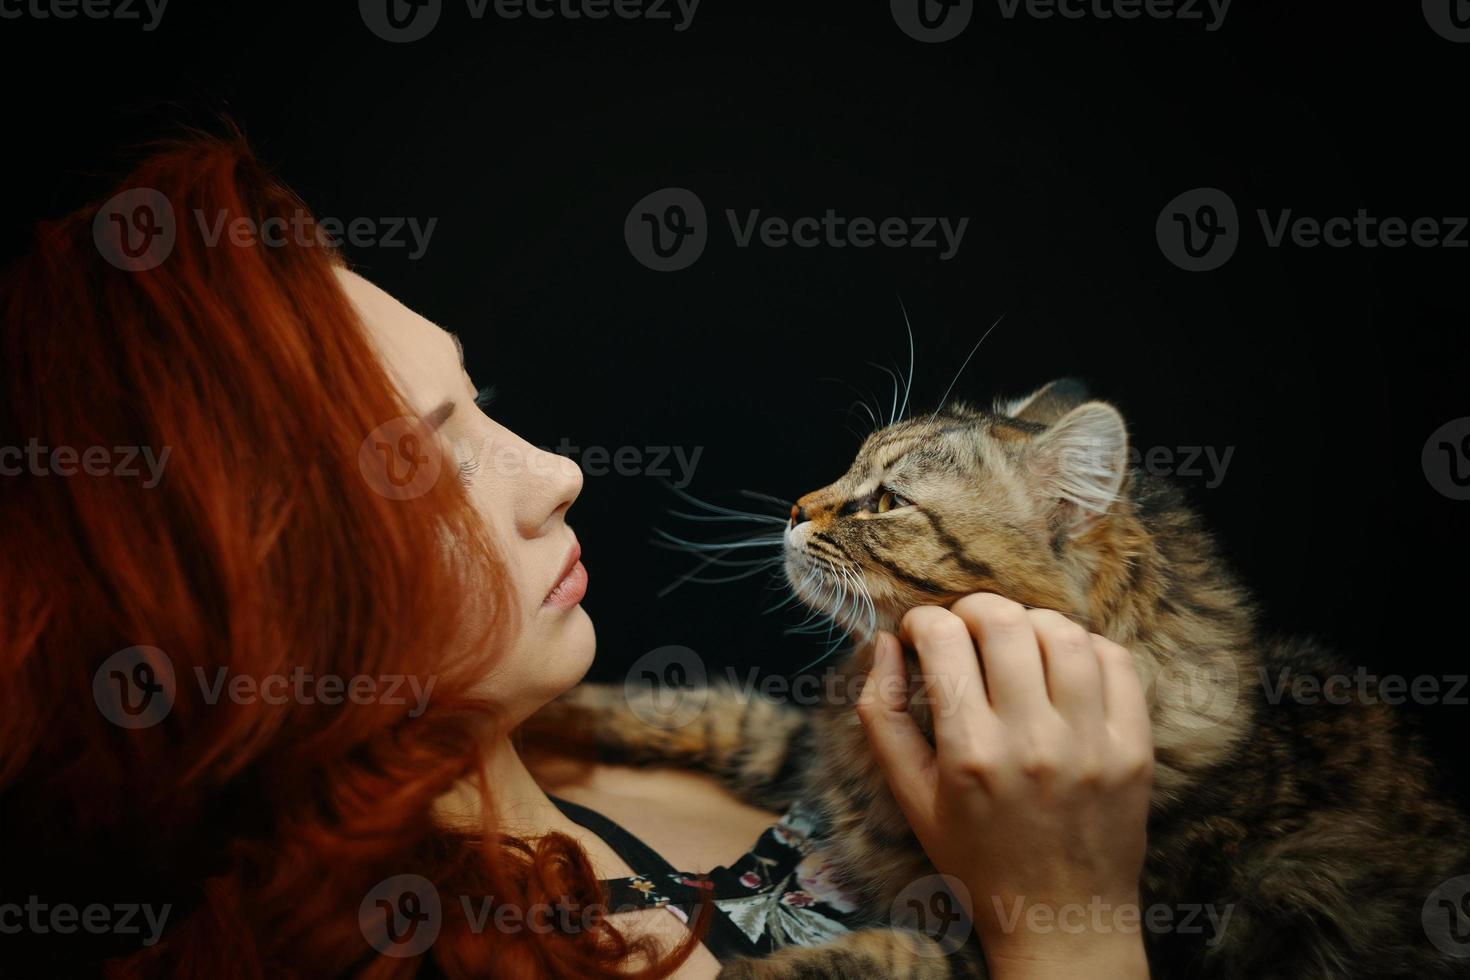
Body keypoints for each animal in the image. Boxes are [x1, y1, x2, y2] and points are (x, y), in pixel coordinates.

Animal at [529, 379, 1470, 975]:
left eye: (886, 502)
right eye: (849, 468)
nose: (796, 508)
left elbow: (896, 957)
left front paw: (766, 972)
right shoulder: (810, 757)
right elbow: (700, 709)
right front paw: (548, 715)